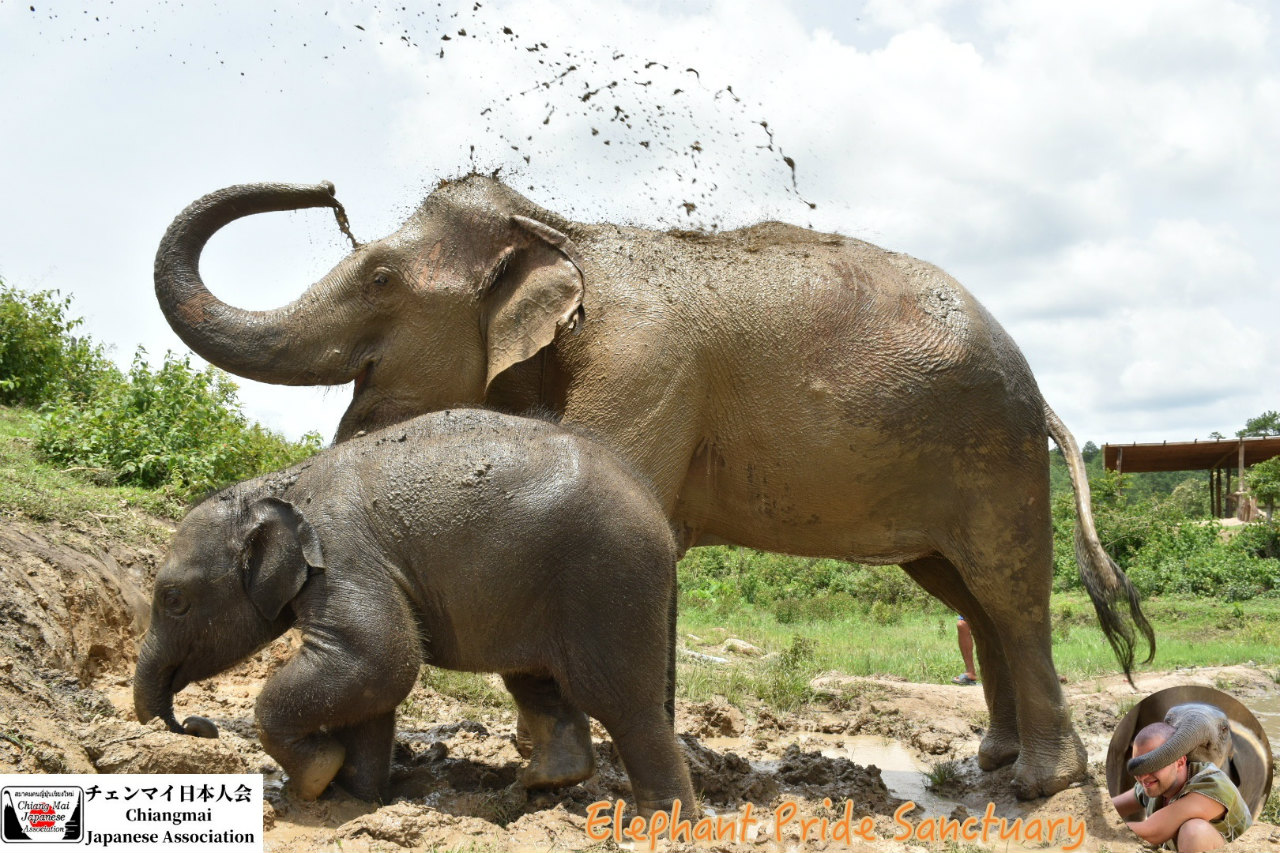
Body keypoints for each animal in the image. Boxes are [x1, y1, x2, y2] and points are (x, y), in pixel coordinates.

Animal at [133, 409, 695, 815]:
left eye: (173, 600)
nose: (196, 725)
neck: (281, 484)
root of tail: (660, 518)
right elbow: (370, 680)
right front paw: (356, 795)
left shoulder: (343, 553)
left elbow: (378, 657)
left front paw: (315, 781)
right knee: (536, 681)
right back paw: (534, 784)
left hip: (608, 583)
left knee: (624, 705)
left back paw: (665, 825)